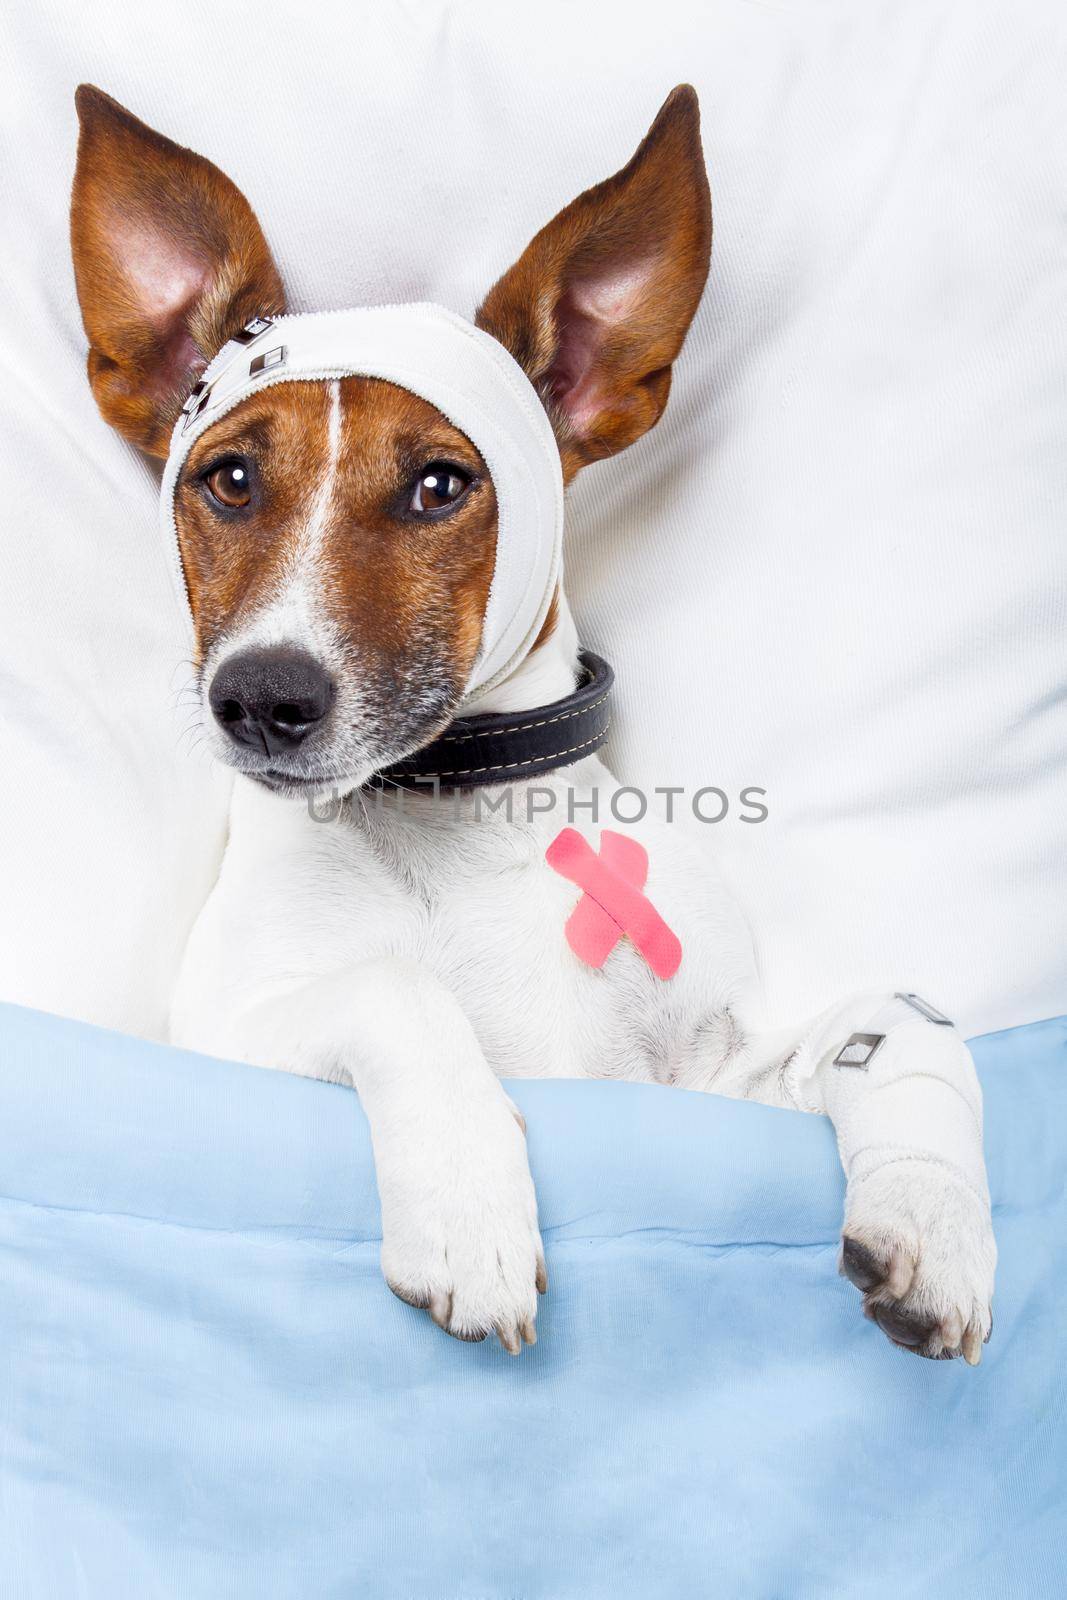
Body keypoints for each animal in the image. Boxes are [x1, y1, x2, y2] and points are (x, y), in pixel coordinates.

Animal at [70, 84, 998, 1363]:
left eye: (439, 485)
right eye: (230, 480)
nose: (262, 696)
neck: (458, 823)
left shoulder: (698, 1085)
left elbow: (898, 1019)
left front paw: (934, 1216)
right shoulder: (213, 1035)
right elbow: (392, 988)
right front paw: (469, 1213)